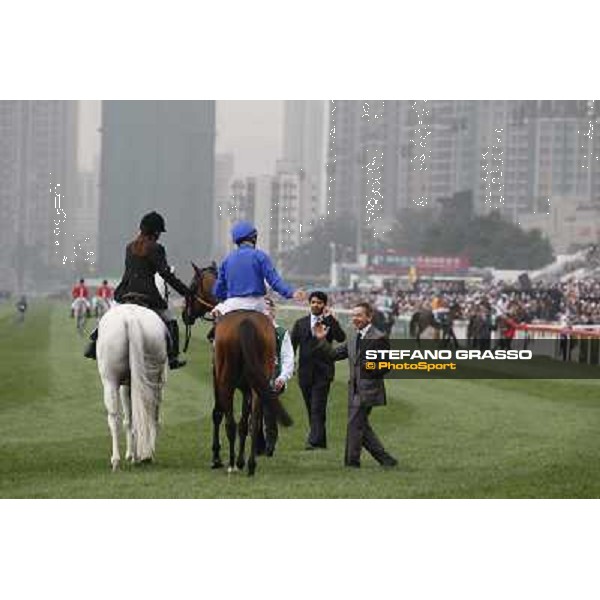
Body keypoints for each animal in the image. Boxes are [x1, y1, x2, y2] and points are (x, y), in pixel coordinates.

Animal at [96, 304, 168, 468]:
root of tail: (131, 318)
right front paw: (134, 454)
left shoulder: (124, 386)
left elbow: (128, 419)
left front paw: (130, 454)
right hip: (150, 377)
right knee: (150, 413)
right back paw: (145, 455)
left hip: (111, 381)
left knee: (115, 418)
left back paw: (118, 459)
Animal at [185, 262, 292, 478]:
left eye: (192, 286)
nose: (185, 314)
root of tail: (246, 322)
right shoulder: (246, 387)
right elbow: (245, 421)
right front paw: (243, 459)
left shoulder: (217, 376)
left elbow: (219, 413)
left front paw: (217, 457)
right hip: (259, 378)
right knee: (255, 418)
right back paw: (250, 464)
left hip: (226, 379)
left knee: (230, 421)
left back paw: (232, 464)